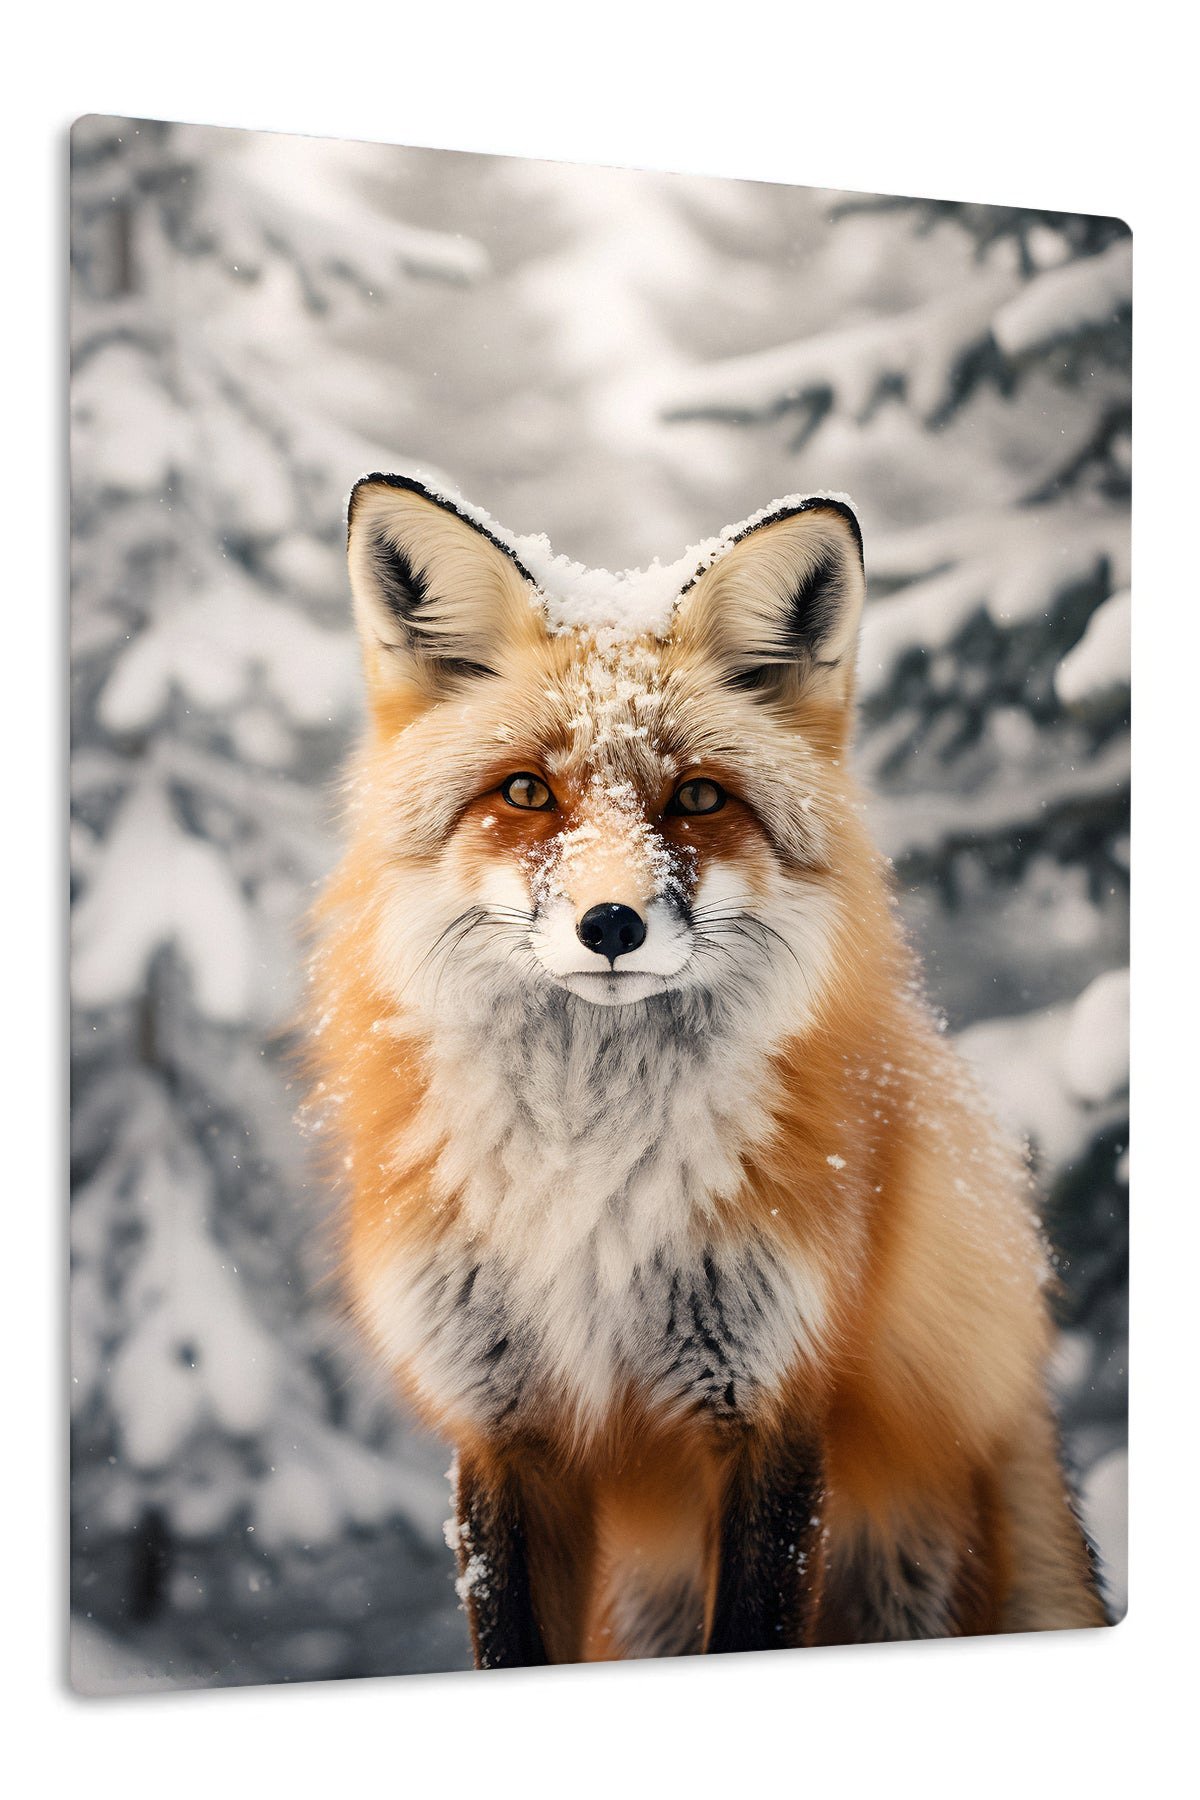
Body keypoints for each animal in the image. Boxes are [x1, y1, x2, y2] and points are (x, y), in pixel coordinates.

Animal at [307, 471, 1107, 1668]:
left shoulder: (773, 1403)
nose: (611, 925)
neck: (588, 1179)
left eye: (695, 799)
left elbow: (758, 1623)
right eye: (528, 793)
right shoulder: (502, 1424)